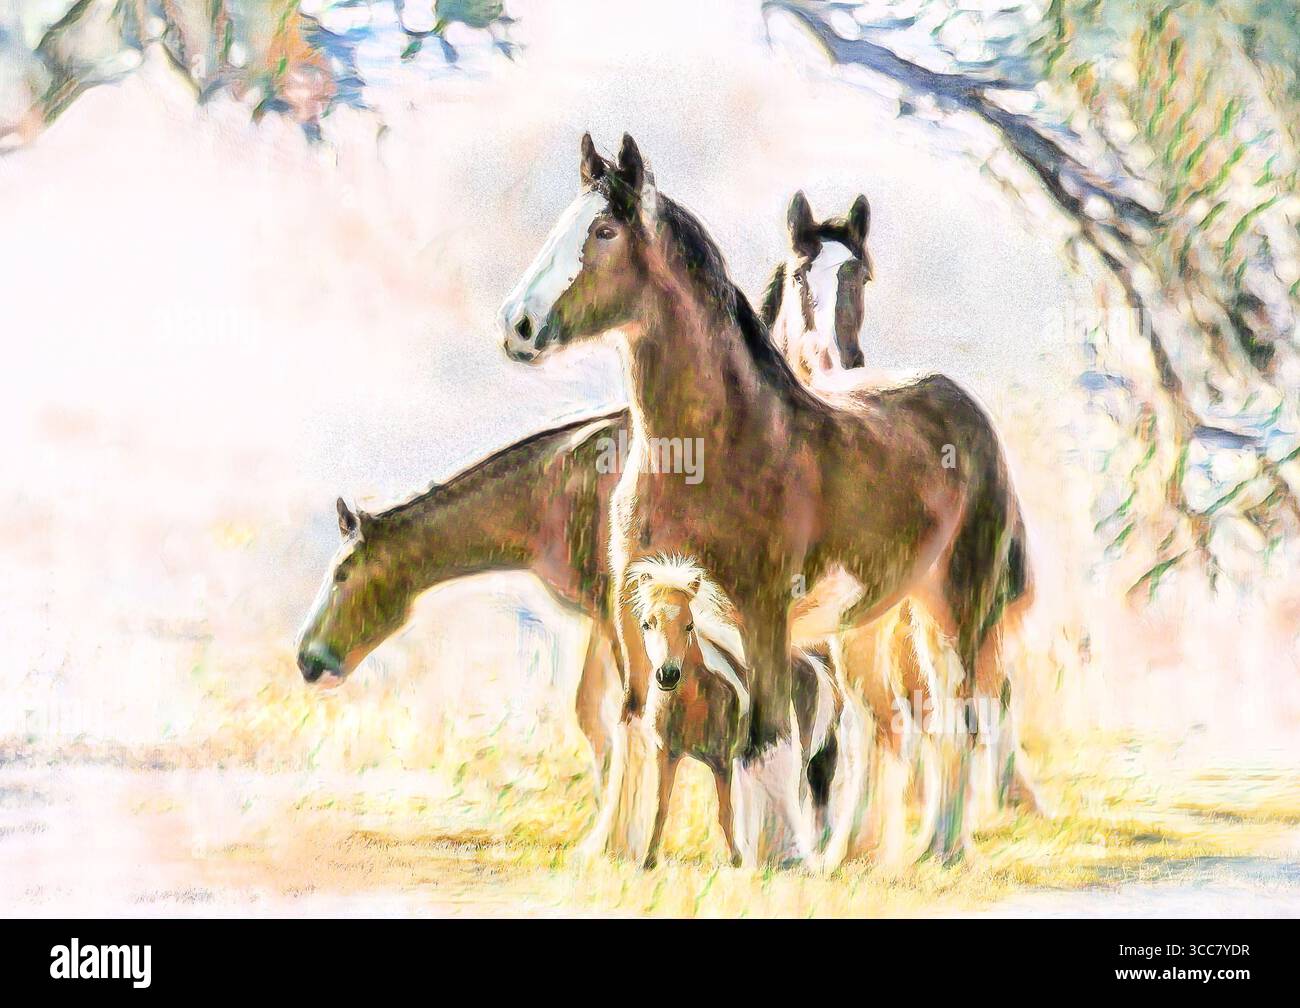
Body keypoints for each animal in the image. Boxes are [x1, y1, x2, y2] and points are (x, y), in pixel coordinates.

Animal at [627, 554, 840, 868]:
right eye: (646, 624)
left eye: (689, 625)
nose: (667, 675)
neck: (691, 704)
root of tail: (811, 662)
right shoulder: (665, 754)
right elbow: (660, 807)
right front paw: (648, 861)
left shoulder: (722, 762)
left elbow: (725, 811)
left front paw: (736, 860)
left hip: (805, 752)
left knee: (800, 794)